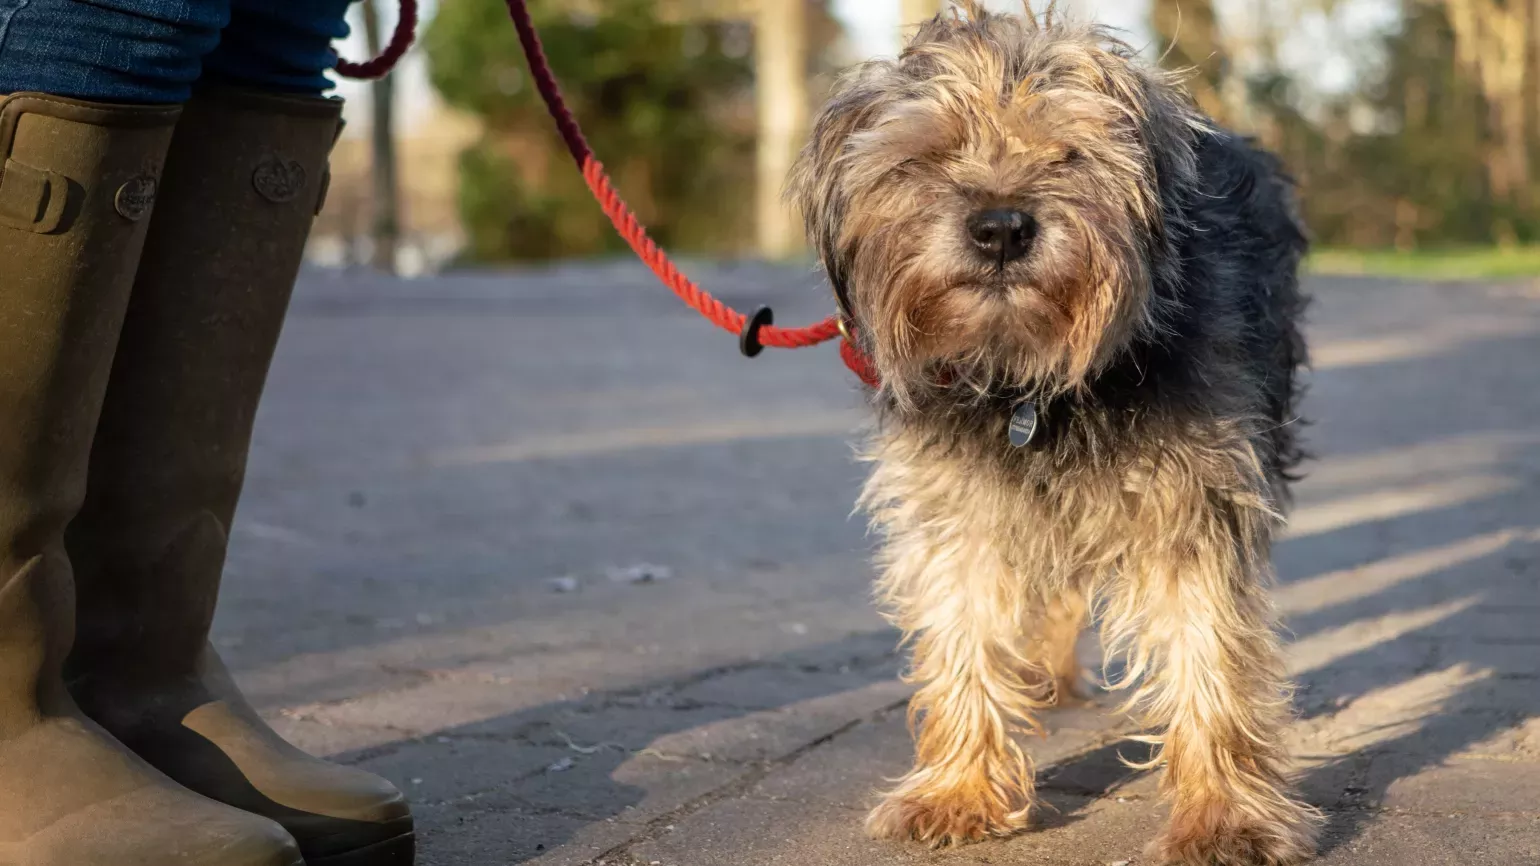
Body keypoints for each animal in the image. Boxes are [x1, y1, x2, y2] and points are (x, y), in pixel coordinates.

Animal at [788, 1, 1318, 862]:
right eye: (929, 155)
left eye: (1067, 152)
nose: (1001, 227)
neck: (1029, 380)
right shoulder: (959, 513)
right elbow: (962, 636)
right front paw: (959, 790)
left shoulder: (1192, 506)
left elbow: (1208, 654)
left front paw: (1223, 816)